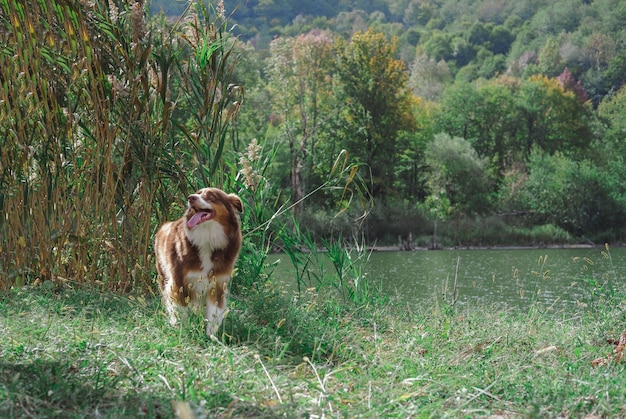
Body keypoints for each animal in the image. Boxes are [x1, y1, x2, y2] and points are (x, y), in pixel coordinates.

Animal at [155, 189, 243, 336]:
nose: (190, 198)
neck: (208, 237)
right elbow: (181, 309)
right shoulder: (179, 281)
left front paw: (211, 336)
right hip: (162, 273)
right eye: (198, 192)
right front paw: (183, 330)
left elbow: (214, 312)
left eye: (211, 196)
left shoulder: (218, 283)